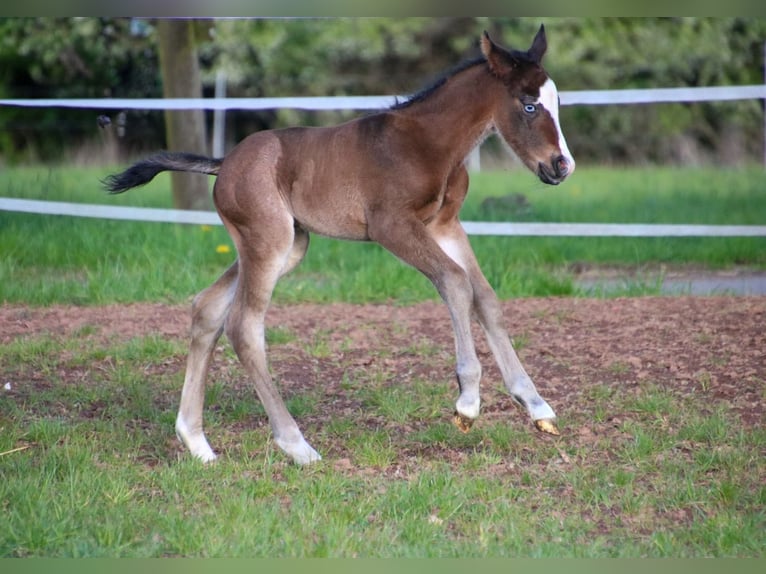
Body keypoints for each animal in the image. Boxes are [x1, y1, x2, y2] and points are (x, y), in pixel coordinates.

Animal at [104, 24, 575, 465]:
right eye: (529, 104)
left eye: (555, 103)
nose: (561, 166)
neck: (428, 143)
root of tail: (224, 164)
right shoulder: (392, 225)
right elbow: (456, 283)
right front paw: (467, 403)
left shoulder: (445, 225)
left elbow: (486, 298)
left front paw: (536, 406)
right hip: (269, 241)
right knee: (243, 326)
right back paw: (296, 446)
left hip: (285, 245)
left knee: (207, 310)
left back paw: (197, 443)